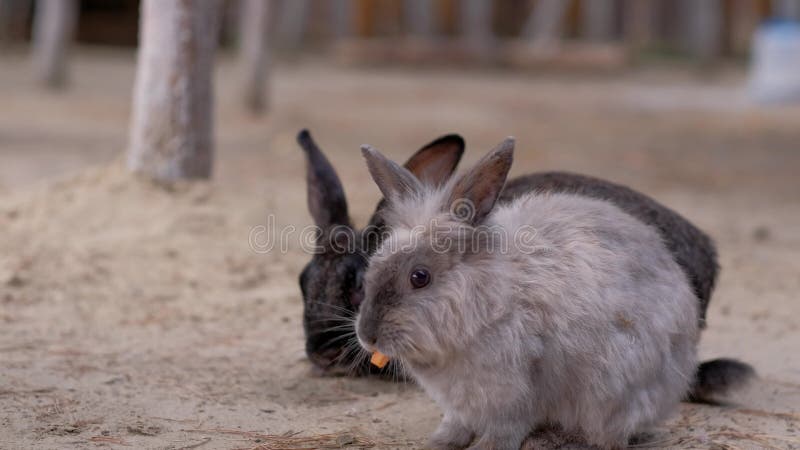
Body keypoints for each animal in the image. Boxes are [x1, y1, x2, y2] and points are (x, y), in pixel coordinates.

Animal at [358, 139, 700, 448]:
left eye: (420, 277)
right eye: (372, 265)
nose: (367, 335)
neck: (489, 302)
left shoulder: (519, 393)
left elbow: (508, 427)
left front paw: (486, 447)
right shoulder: (460, 405)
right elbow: (456, 424)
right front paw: (440, 442)